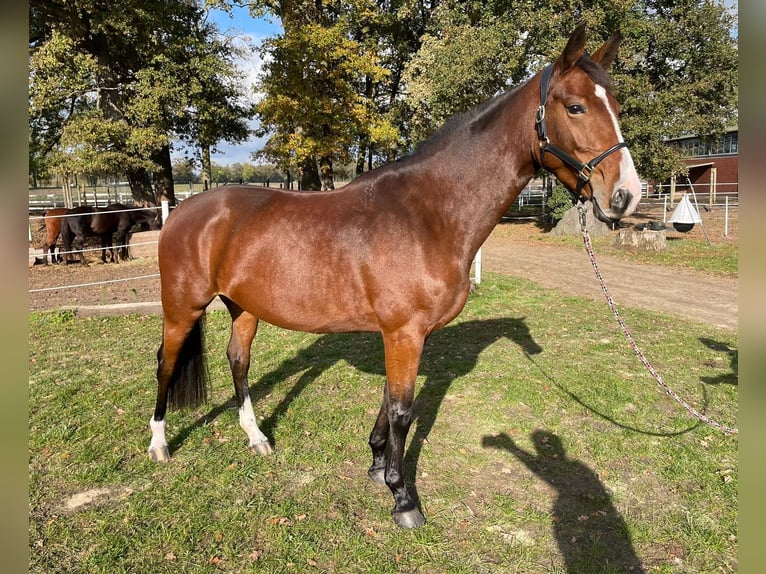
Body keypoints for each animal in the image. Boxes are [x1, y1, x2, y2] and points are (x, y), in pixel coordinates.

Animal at [147, 27, 644, 532]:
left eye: (618, 107)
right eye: (576, 107)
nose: (626, 195)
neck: (427, 215)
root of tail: (183, 209)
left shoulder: (402, 334)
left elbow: (389, 402)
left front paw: (375, 464)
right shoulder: (404, 332)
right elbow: (404, 411)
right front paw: (402, 497)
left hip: (244, 307)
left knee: (238, 361)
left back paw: (257, 438)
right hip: (183, 306)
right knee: (166, 363)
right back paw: (160, 445)